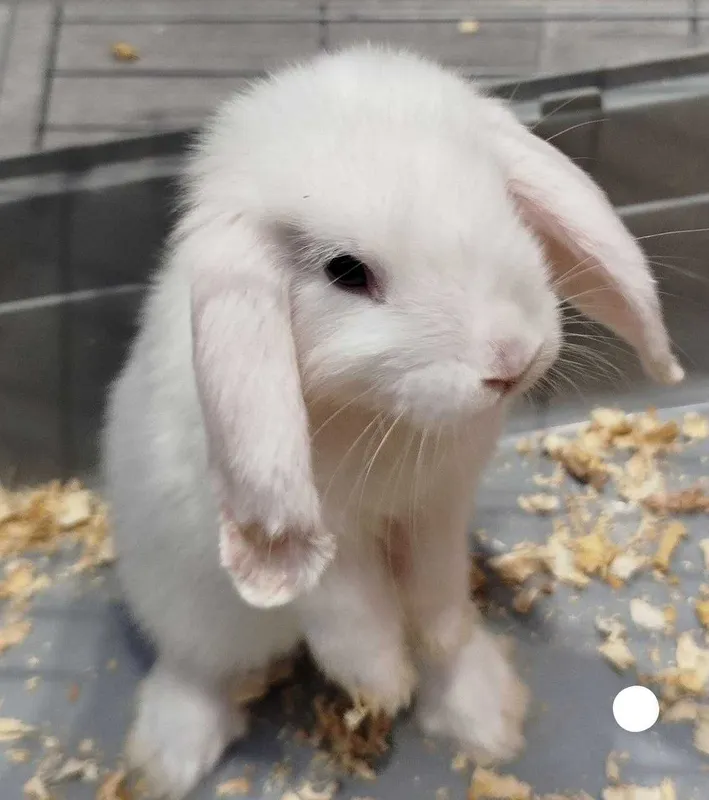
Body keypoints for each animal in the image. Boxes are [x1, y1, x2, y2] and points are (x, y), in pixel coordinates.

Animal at [102, 44, 683, 799]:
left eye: (502, 202)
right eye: (346, 271)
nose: (510, 360)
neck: (384, 416)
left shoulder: (436, 508)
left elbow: (434, 599)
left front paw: (432, 655)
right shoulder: (325, 534)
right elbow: (350, 613)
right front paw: (383, 687)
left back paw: (485, 716)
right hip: (183, 598)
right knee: (197, 668)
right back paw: (165, 758)